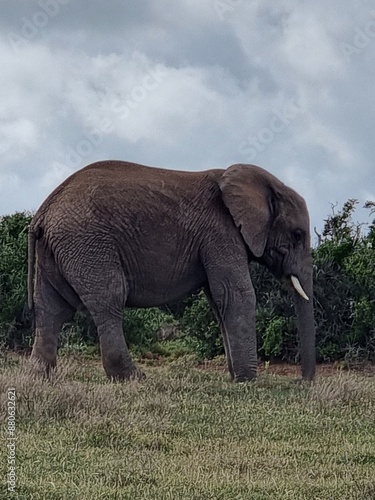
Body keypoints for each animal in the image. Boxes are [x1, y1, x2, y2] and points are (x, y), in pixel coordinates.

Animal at [29, 162, 316, 380]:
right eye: (297, 234)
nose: (303, 381)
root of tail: (43, 211)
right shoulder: (220, 233)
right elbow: (236, 294)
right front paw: (248, 380)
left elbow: (218, 301)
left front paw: (237, 377)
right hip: (87, 244)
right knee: (109, 301)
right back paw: (133, 378)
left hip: (57, 251)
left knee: (51, 309)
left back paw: (40, 377)